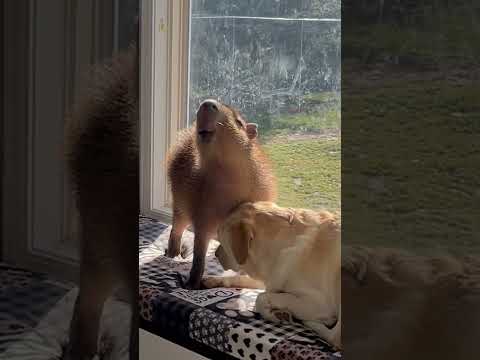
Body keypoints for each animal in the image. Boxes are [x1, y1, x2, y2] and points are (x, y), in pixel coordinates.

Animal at [202, 201, 342, 348]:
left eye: (221, 238)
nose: (215, 254)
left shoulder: (319, 303)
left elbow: (261, 298)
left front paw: (275, 313)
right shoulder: (270, 277)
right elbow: (242, 278)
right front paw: (214, 280)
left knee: (335, 338)